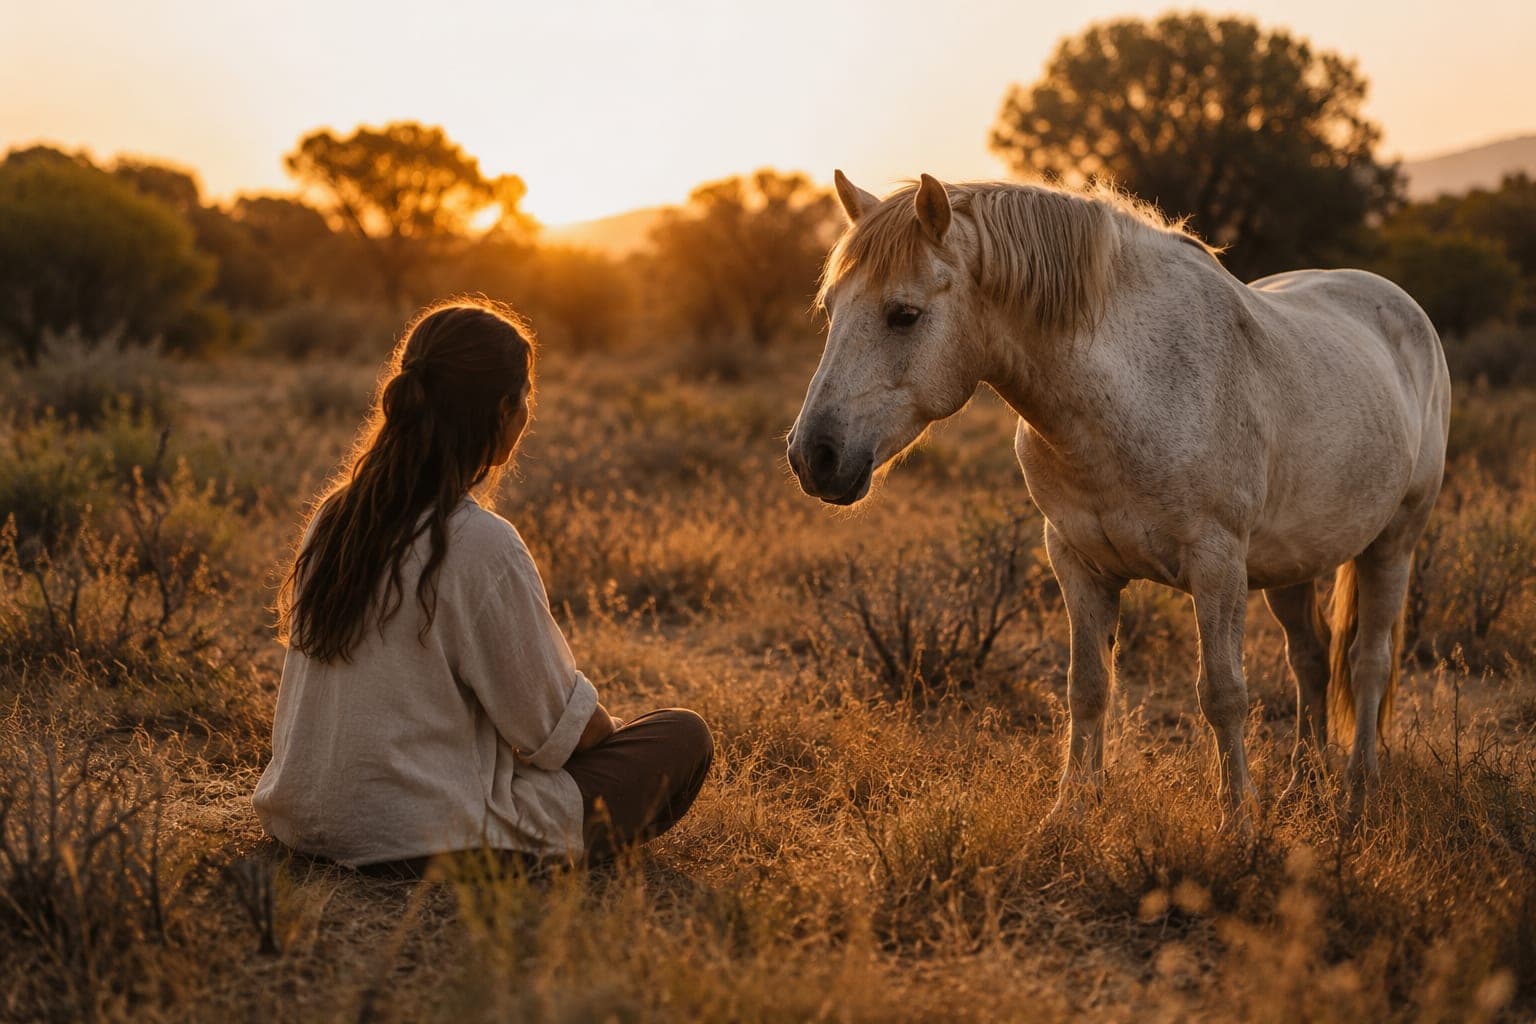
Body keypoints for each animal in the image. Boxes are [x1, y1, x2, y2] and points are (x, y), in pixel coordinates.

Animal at [786, 171, 1450, 826]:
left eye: (904, 314)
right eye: (830, 307)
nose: (813, 456)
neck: (1134, 388)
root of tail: (1401, 307)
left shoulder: (1217, 564)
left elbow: (1223, 693)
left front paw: (1238, 820)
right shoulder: (1078, 562)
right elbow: (1088, 688)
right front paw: (1070, 813)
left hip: (1394, 542)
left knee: (1368, 661)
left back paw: (1358, 791)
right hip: (1293, 564)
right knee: (1310, 658)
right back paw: (1301, 785)